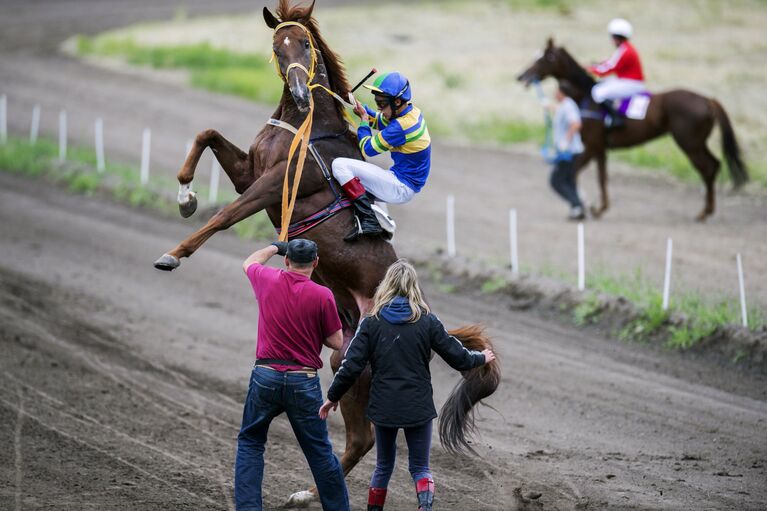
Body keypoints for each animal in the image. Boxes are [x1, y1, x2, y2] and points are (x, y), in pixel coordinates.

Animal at [152, 0, 500, 506]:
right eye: (277, 46)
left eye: (306, 44)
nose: (300, 91)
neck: (307, 123)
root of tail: (418, 310)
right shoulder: (249, 170)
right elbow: (207, 133)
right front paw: (184, 195)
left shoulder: (274, 183)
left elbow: (226, 216)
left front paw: (174, 253)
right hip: (344, 359)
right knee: (360, 437)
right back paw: (308, 492)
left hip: (359, 365)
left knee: (364, 439)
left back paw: (310, 492)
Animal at [516, 39, 752, 221]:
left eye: (545, 58)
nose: (521, 76)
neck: (587, 98)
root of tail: (709, 100)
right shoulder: (600, 149)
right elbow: (602, 178)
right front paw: (599, 208)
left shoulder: (591, 146)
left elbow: (574, 173)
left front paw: (581, 207)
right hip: (696, 143)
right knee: (714, 164)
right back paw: (707, 210)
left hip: (689, 144)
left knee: (708, 168)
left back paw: (704, 213)